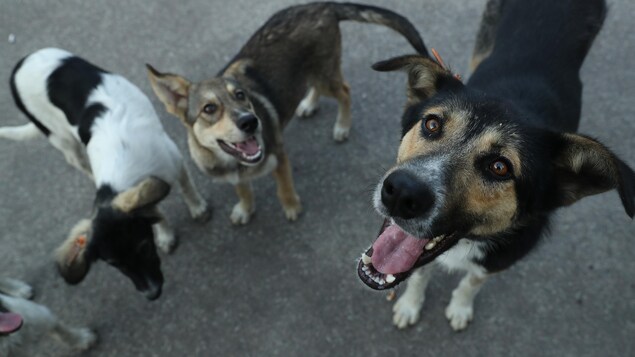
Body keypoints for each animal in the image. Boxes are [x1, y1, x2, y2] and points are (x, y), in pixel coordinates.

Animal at [1, 47, 212, 298]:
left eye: (143, 247)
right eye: (114, 264)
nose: (151, 294)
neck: (120, 178)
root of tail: (18, 67)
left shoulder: (173, 159)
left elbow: (186, 187)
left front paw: (197, 208)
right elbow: (155, 209)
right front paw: (165, 232)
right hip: (62, 140)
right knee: (77, 160)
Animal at [147, 2, 428, 224]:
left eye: (240, 96)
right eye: (209, 108)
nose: (251, 122)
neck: (233, 160)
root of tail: (322, 6)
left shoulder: (279, 156)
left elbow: (283, 187)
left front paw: (292, 206)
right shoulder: (234, 175)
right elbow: (243, 190)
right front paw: (245, 209)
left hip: (324, 73)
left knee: (345, 92)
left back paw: (342, 126)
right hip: (310, 74)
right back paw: (308, 104)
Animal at [356, 0, 632, 330]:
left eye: (500, 167)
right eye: (432, 124)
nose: (401, 192)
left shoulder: (499, 260)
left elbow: (472, 281)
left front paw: (460, 307)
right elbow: (420, 272)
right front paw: (411, 304)